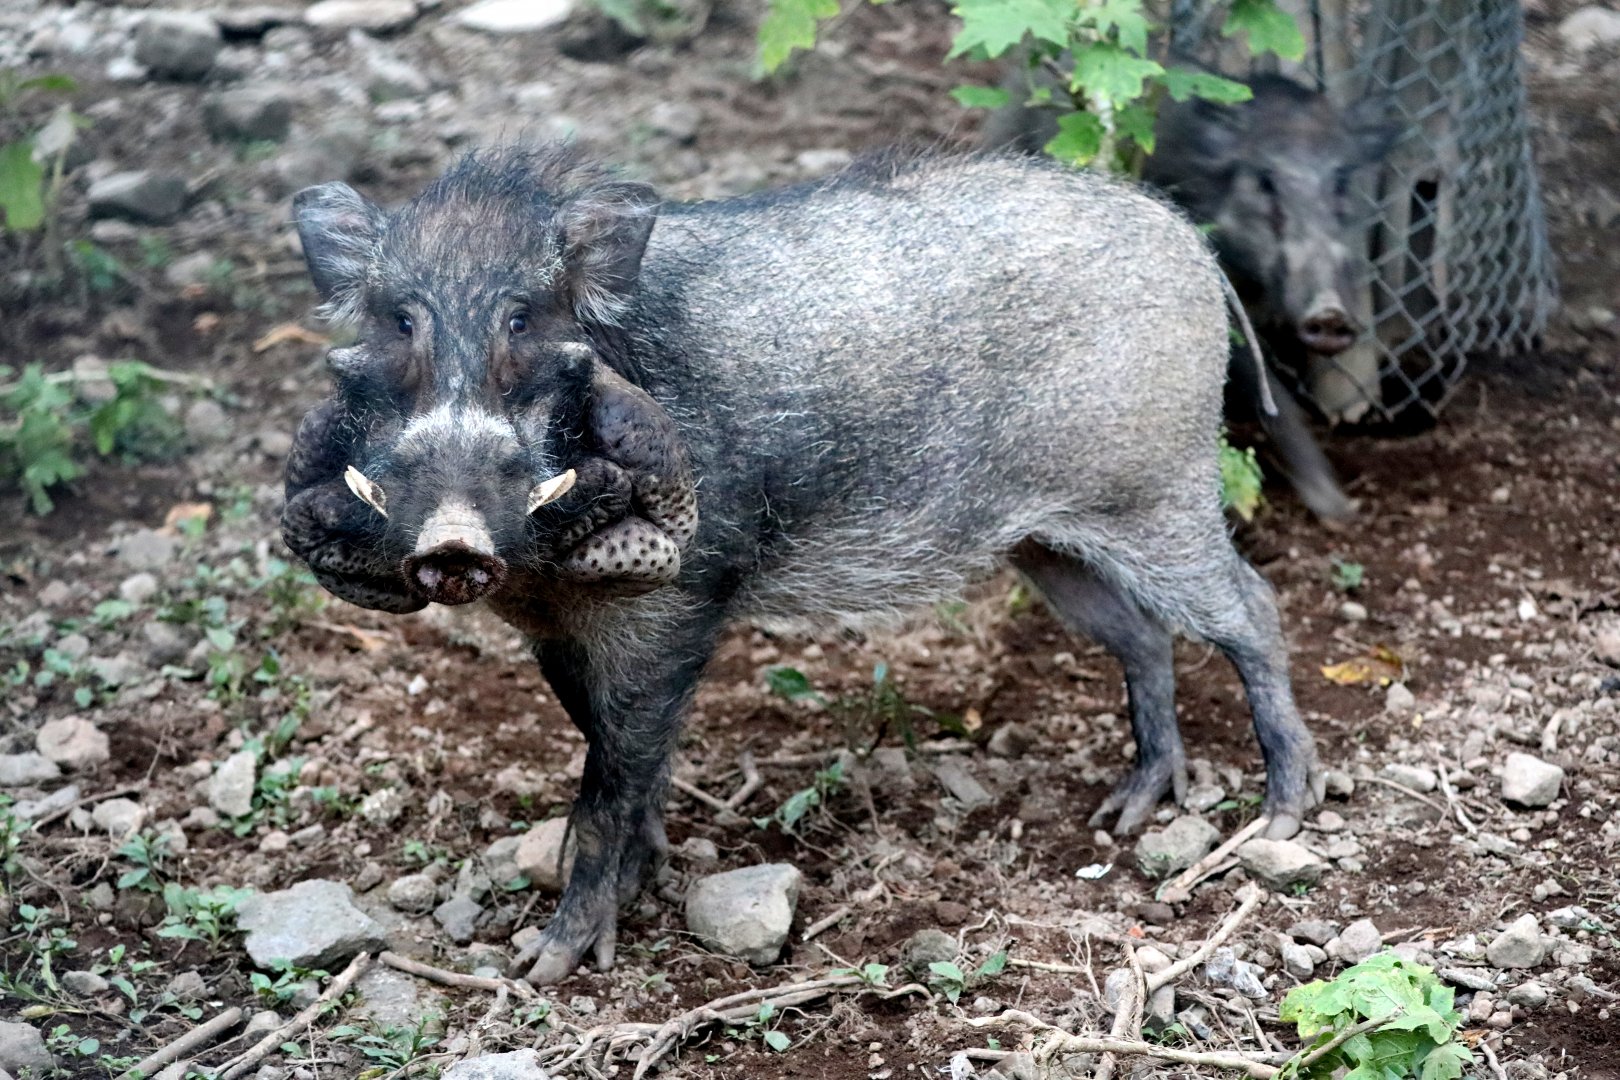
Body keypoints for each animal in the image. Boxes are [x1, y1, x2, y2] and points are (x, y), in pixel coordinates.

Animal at [282, 145, 1323, 984]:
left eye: (525, 319)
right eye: (397, 321)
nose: (452, 541)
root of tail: (1188, 241)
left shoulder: (674, 608)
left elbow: (613, 775)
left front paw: (549, 962)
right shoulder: (555, 632)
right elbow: (616, 753)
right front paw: (644, 878)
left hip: (1159, 496)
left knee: (1254, 609)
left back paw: (1282, 815)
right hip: (1049, 544)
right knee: (1142, 636)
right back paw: (1128, 811)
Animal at [984, 73, 1401, 520]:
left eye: (1342, 180)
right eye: (1265, 181)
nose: (1331, 314)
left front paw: (1341, 509)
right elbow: (1268, 388)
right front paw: (1332, 506)